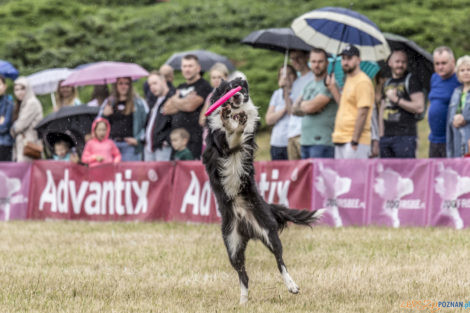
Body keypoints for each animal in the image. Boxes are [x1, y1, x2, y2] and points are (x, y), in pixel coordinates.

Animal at [202, 77, 324, 302]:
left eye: (241, 89)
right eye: (228, 88)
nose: (237, 96)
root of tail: (246, 225)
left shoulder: (244, 138)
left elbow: (241, 129)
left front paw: (237, 120)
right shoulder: (222, 143)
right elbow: (228, 129)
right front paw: (228, 118)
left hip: (268, 231)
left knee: (280, 261)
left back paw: (292, 286)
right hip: (232, 244)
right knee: (243, 274)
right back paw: (243, 301)